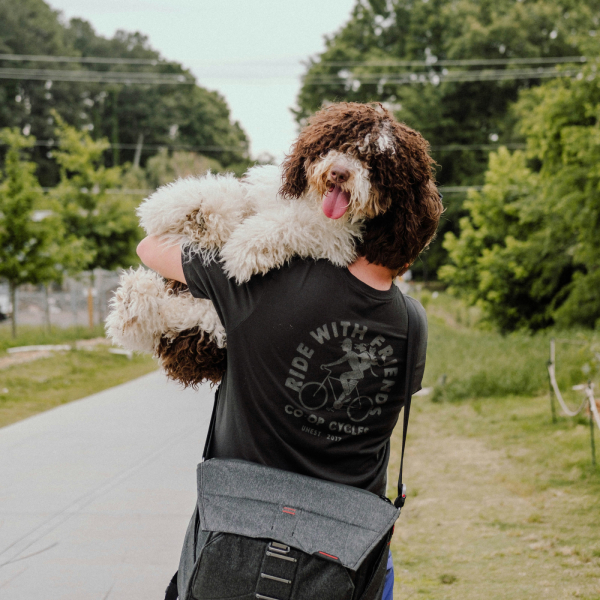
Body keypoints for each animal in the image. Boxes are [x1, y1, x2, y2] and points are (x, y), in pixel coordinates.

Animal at [104, 103, 440, 386]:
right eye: (338, 144)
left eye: (375, 164)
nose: (339, 172)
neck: (313, 203)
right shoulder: (264, 194)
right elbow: (234, 196)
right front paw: (184, 208)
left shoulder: (339, 240)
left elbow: (294, 225)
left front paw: (244, 247)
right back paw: (133, 300)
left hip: (208, 322)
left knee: (186, 320)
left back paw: (133, 306)